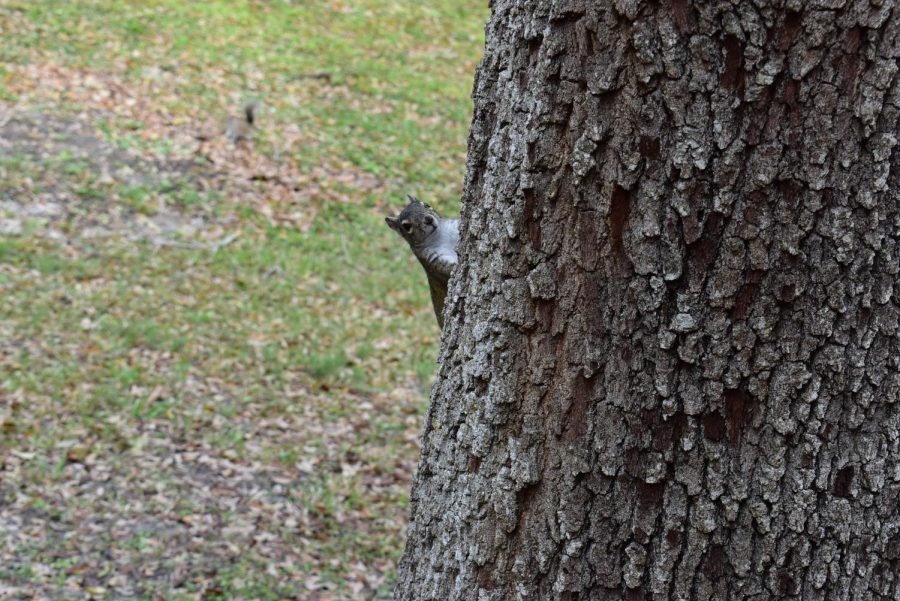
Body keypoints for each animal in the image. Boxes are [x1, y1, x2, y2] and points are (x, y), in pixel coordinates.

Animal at [384, 195, 460, 328]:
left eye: (426, 205)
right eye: (406, 226)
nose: (428, 219)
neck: (440, 236)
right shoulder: (433, 262)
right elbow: (449, 270)